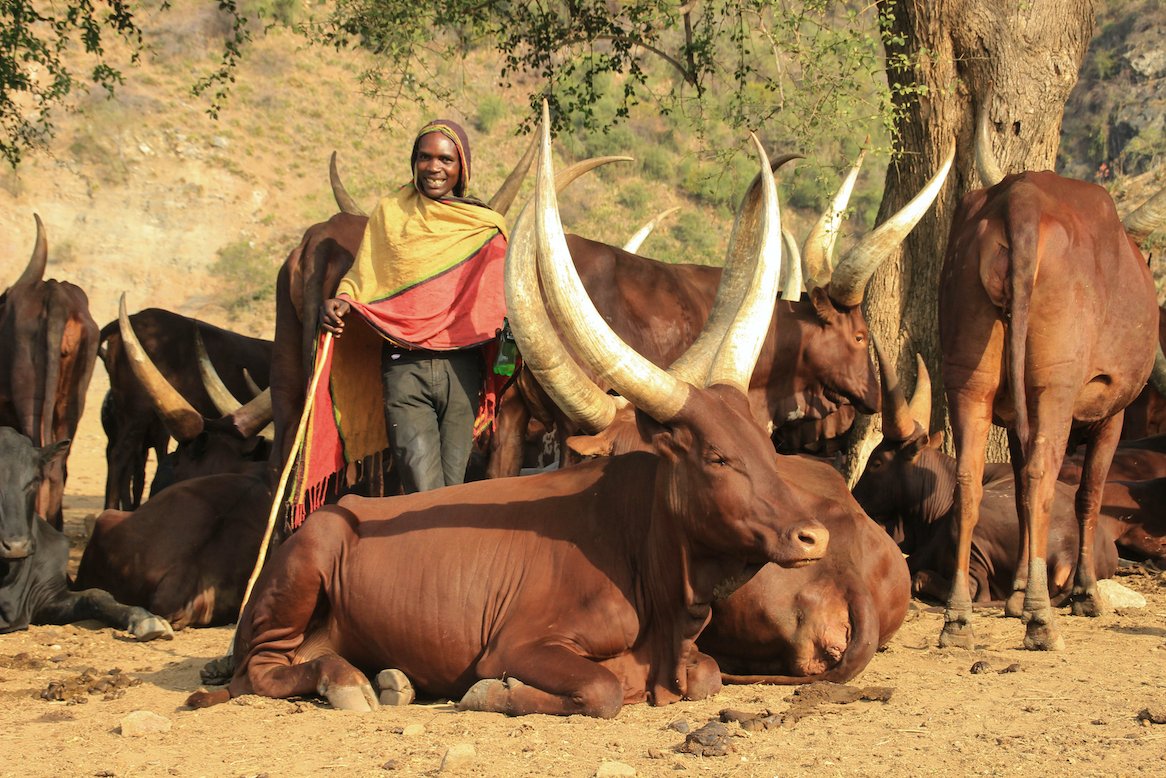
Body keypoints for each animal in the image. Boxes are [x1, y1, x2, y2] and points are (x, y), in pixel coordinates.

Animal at [185, 121, 832, 717]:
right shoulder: (520, 643)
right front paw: (491, 693)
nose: (813, 537)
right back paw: (346, 683)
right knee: (259, 669)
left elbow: (709, 675)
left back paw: (389, 678)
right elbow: (601, 689)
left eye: (767, 450)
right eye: (716, 457)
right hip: (304, 572)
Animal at [935, 112, 1162, 650]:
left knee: (970, 479)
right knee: (1044, 477)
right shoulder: (1112, 414)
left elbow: (1017, 490)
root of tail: (1022, 198)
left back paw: (958, 619)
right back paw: (1042, 620)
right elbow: (1088, 494)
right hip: (1053, 389)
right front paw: (1083, 593)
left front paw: (1017, 592)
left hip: (969, 380)